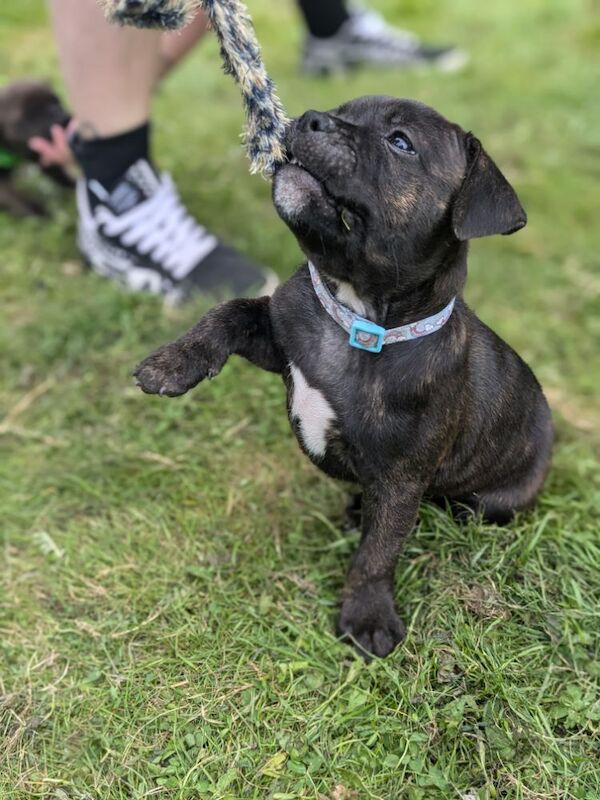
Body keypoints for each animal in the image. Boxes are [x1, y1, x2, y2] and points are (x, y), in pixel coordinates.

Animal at [135, 95, 552, 656]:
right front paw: (172, 363)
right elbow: (228, 312)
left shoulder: (401, 481)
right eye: (342, 109)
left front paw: (367, 615)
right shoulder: (278, 337)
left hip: (492, 501)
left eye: (400, 142)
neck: (358, 318)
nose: (313, 118)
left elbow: (378, 552)